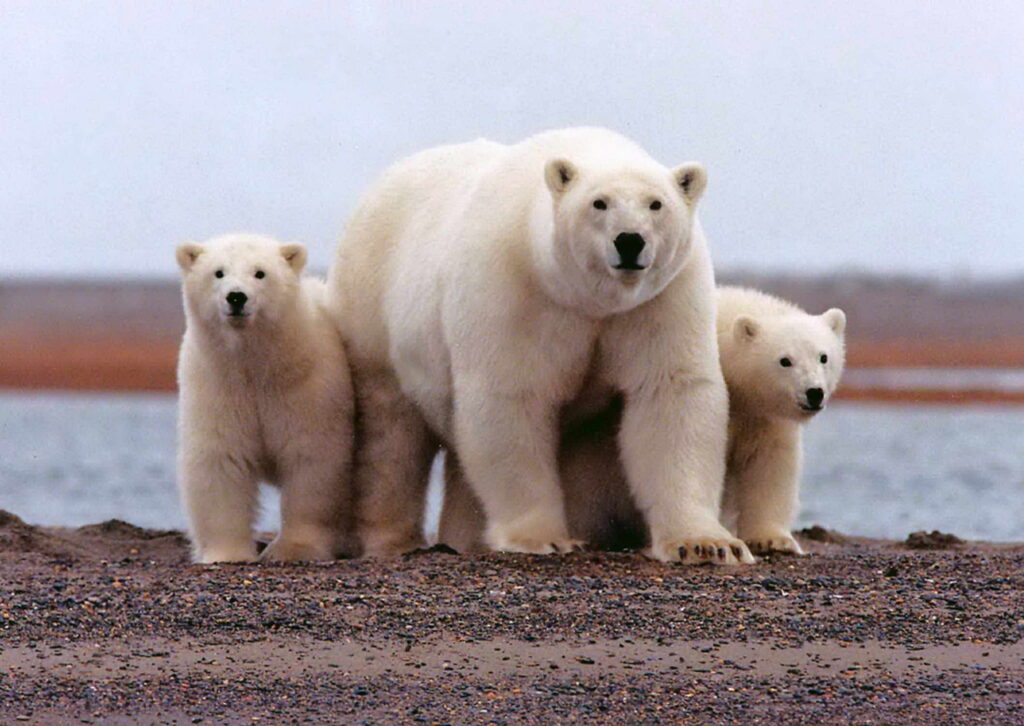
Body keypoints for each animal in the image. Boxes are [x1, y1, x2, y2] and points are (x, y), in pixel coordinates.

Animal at [176, 233, 355, 563]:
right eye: (218, 272)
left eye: (260, 273)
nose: (236, 297)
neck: (257, 365)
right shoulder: (217, 386)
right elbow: (221, 459)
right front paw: (227, 553)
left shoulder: (307, 388)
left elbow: (311, 460)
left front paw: (293, 549)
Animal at [327, 127, 753, 565]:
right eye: (599, 203)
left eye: (656, 204)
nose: (630, 241)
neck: (588, 299)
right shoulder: (516, 290)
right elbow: (511, 399)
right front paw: (543, 538)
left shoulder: (661, 300)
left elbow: (670, 394)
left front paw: (706, 544)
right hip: (373, 313)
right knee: (391, 435)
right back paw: (393, 540)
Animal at [439, 285, 847, 557]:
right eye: (784, 360)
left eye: (823, 356)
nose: (813, 393)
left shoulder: (762, 417)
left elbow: (769, 465)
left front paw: (773, 539)